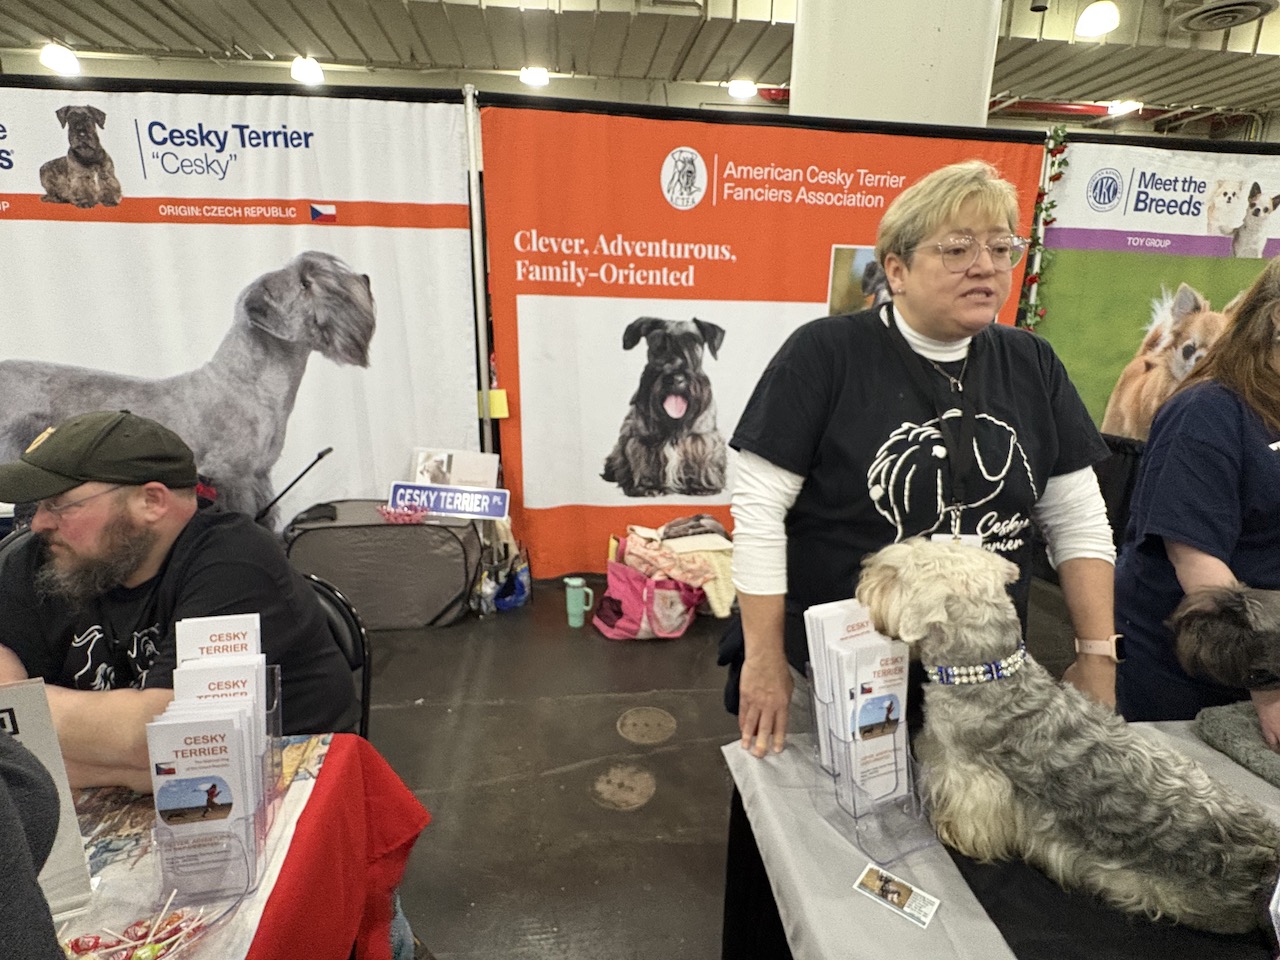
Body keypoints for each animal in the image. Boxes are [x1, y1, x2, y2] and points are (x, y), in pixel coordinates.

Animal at [601, 317, 726, 497]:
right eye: (657, 345)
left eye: (693, 343)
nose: (675, 379)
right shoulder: (642, 440)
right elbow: (644, 462)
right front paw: (647, 486)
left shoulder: (702, 437)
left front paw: (701, 486)